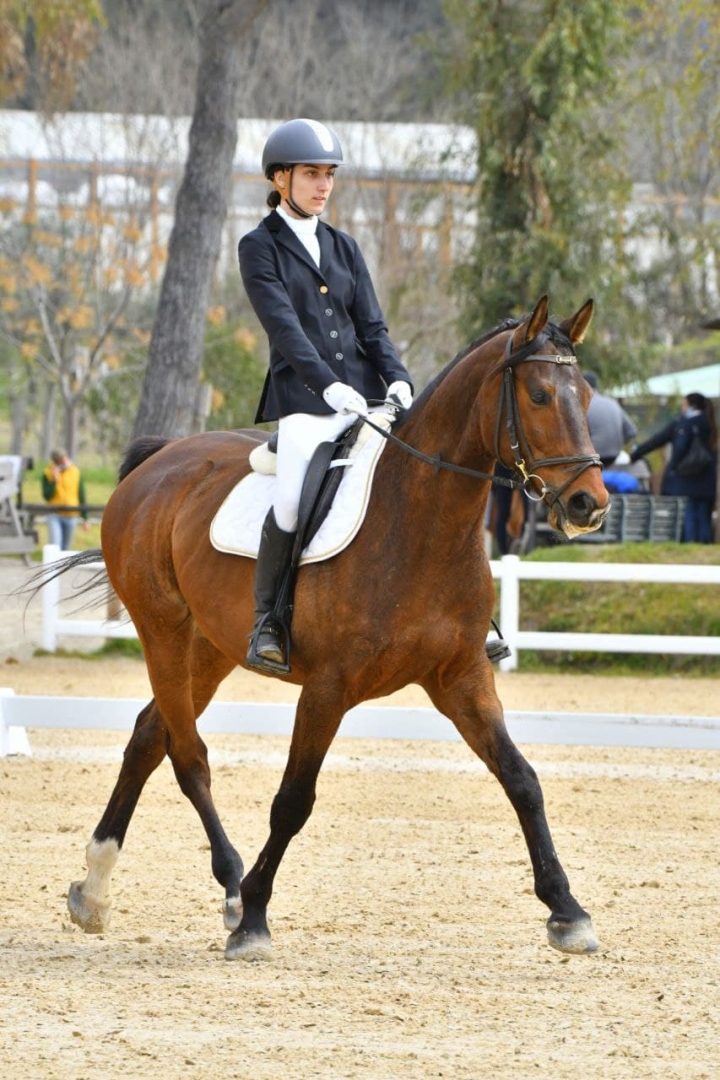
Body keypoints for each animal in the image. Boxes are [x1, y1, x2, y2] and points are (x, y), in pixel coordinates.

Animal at [58, 295, 609, 961]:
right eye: (538, 395)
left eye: (586, 395)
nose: (588, 504)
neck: (422, 520)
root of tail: (160, 460)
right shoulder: (329, 687)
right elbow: (293, 800)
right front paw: (255, 920)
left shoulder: (461, 677)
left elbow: (522, 779)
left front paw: (568, 911)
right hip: (162, 630)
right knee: (187, 755)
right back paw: (230, 888)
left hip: (210, 647)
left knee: (148, 735)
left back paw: (95, 891)